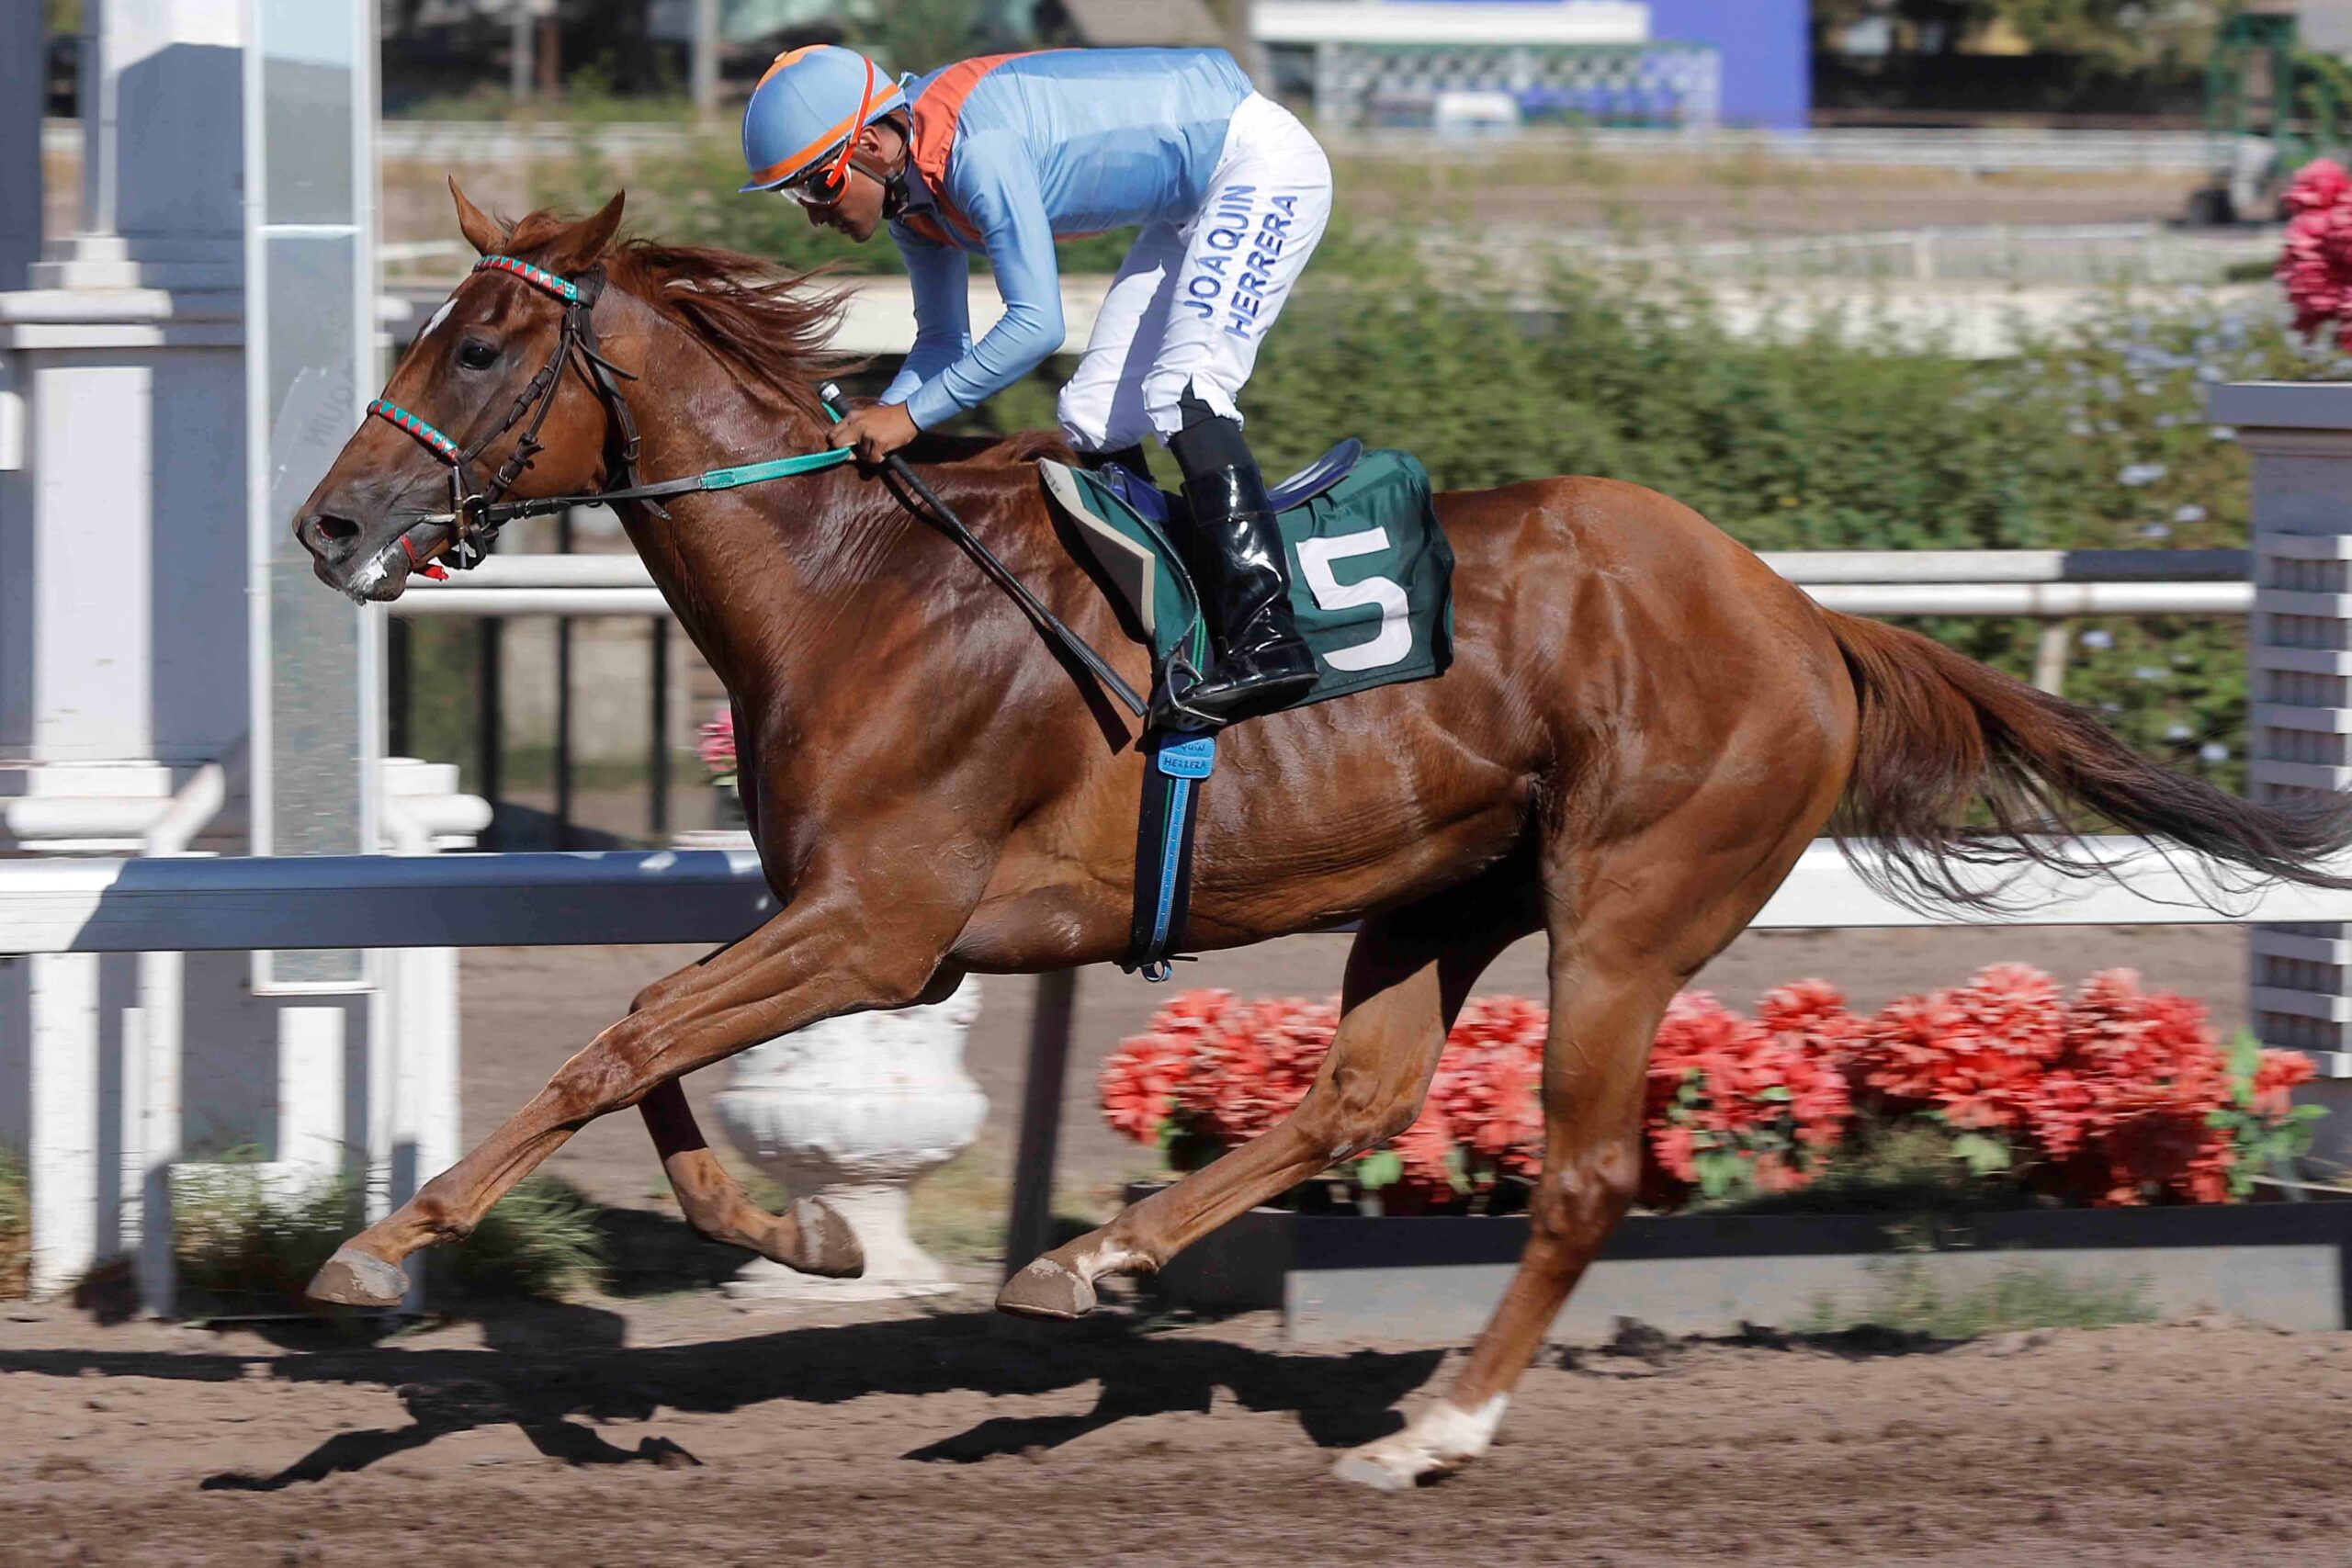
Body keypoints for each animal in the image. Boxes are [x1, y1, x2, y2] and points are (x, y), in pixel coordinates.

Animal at [291, 186, 2352, 1489]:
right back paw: (1095, 1264)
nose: (328, 523)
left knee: (1579, 1174)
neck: (848, 579)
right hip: (1445, 887)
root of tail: (1796, 614)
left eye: (482, 347)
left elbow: (624, 1035)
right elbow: (639, 1041)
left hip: (1626, 901)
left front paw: (379, 1253)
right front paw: (788, 1231)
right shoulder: (835, 914)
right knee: (1357, 1094)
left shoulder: (882, 924)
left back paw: (1433, 1424)